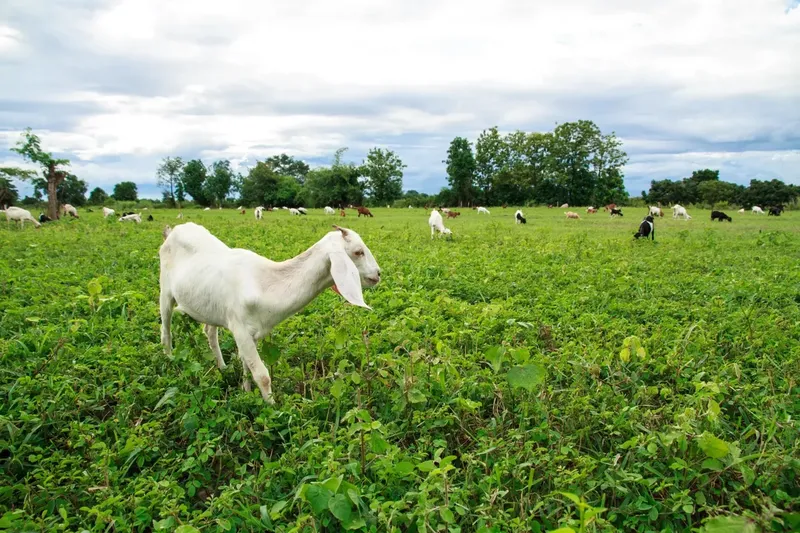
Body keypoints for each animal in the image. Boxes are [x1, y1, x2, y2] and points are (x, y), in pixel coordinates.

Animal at [158, 223, 380, 403]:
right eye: (358, 251)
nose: (378, 274)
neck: (264, 284)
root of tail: (173, 231)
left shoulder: (253, 334)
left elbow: (246, 366)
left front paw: (246, 393)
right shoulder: (240, 330)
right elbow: (262, 375)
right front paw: (272, 408)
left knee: (209, 332)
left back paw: (222, 367)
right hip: (165, 291)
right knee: (166, 329)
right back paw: (170, 361)